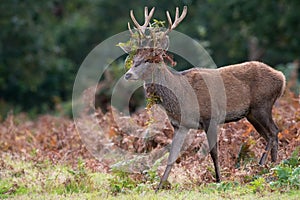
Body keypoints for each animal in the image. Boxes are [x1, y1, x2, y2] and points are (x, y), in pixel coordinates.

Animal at [118, 5, 288, 191]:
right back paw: (272, 167)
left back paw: (264, 165)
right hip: (251, 113)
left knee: (274, 132)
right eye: (134, 58)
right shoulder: (180, 125)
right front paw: (158, 187)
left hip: (262, 105)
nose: (128, 74)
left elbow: (214, 153)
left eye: (149, 59)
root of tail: (282, 78)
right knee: (268, 135)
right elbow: (172, 156)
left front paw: (219, 180)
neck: (182, 97)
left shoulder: (210, 117)